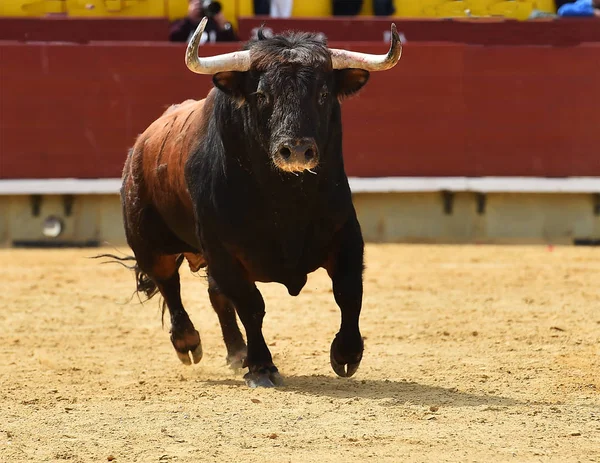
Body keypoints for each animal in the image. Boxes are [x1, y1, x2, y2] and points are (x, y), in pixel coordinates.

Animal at [115, 19, 400, 388]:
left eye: (323, 95)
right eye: (262, 95)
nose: (296, 150)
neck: (285, 199)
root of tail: (140, 145)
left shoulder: (347, 234)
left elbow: (348, 290)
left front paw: (346, 354)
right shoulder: (223, 250)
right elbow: (251, 305)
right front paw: (262, 367)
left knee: (215, 296)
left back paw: (237, 353)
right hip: (150, 242)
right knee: (168, 283)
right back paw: (188, 342)